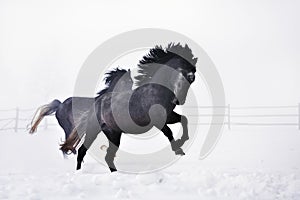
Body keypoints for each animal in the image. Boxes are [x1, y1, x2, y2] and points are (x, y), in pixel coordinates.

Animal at [60, 43, 197, 171]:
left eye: (192, 78)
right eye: (180, 73)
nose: (177, 100)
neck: (155, 92)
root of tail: (96, 104)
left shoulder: (168, 115)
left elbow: (184, 119)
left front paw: (182, 141)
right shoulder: (157, 120)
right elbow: (169, 132)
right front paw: (178, 149)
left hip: (113, 134)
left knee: (105, 156)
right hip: (94, 130)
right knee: (83, 151)